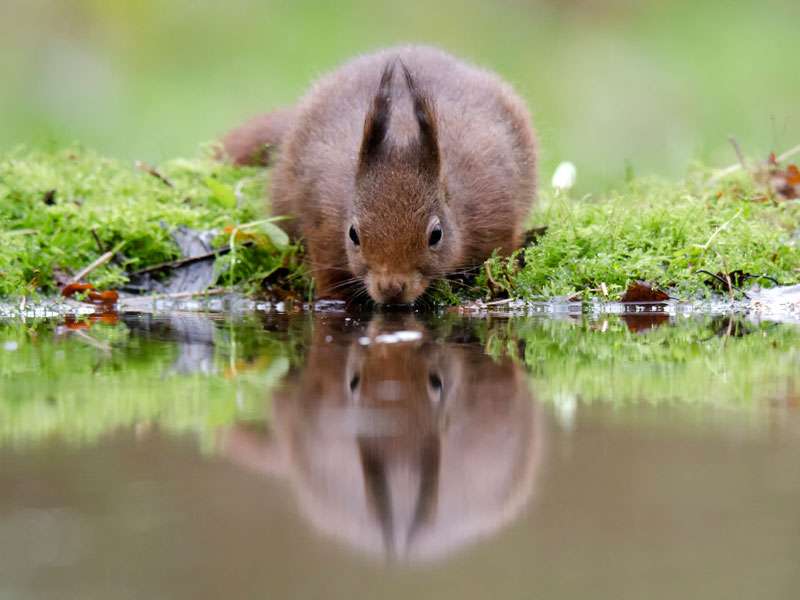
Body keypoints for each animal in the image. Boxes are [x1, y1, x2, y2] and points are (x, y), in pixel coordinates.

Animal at [222, 45, 540, 304]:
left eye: (436, 235)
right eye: (353, 234)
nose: (391, 289)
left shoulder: (495, 211)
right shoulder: (323, 222)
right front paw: (334, 301)